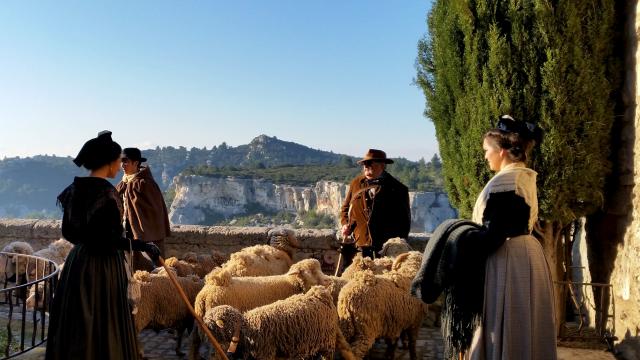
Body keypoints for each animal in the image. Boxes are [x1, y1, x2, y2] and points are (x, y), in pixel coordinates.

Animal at [205, 286, 356, 358]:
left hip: (327, 343)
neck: (245, 328)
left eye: (211, 321)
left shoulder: (265, 353)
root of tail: (319, 294)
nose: (203, 322)